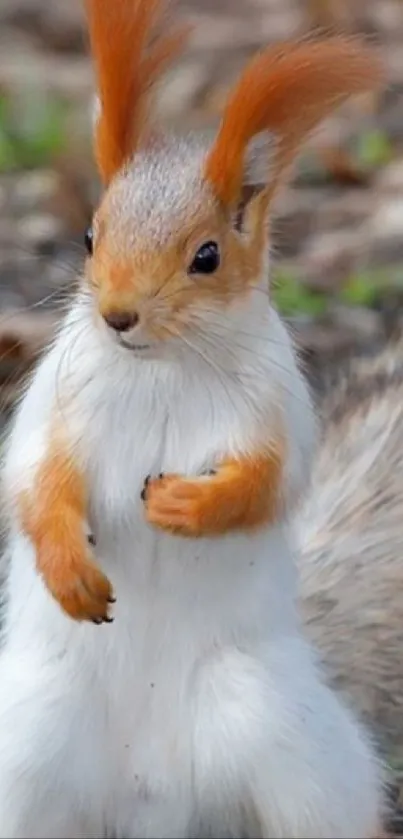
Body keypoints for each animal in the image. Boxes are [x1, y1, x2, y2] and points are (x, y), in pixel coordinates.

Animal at [0, 0, 388, 836]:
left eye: (206, 256)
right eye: (89, 235)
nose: (117, 315)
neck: (162, 365)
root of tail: (148, 799)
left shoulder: (275, 408)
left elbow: (267, 482)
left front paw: (189, 503)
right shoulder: (58, 406)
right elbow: (37, 481)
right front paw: (68, 567)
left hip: (283, 740)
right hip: (27, 742)